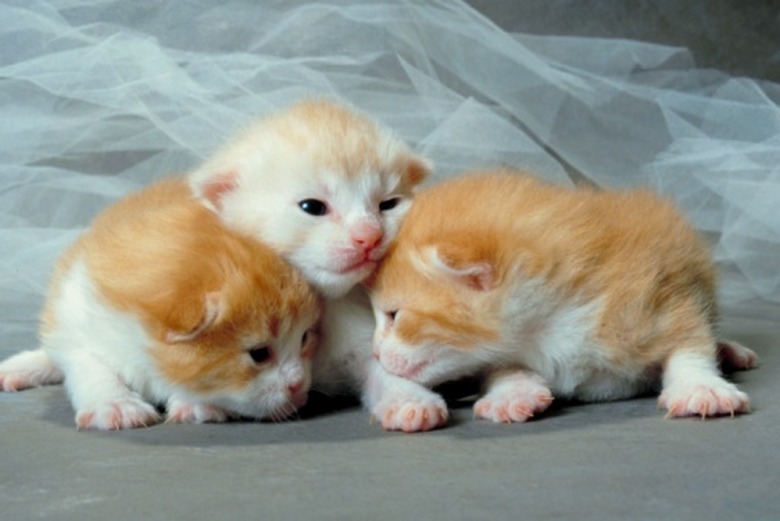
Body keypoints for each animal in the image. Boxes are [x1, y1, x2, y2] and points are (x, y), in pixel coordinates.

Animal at [0, 177, 320, 428]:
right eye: (259, 353)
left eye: (304, 338)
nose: (298, 385)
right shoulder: (75, 316)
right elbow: (90, 366)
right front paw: (116, 407)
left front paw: (195, 405)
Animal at [368, 169, 760, 424]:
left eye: (393, 316)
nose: (374, 352)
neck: (547, 325)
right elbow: (502, 367)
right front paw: (512, 392)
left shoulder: (660, 296)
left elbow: (689, 343)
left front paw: (701, 388)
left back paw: (730, 350)